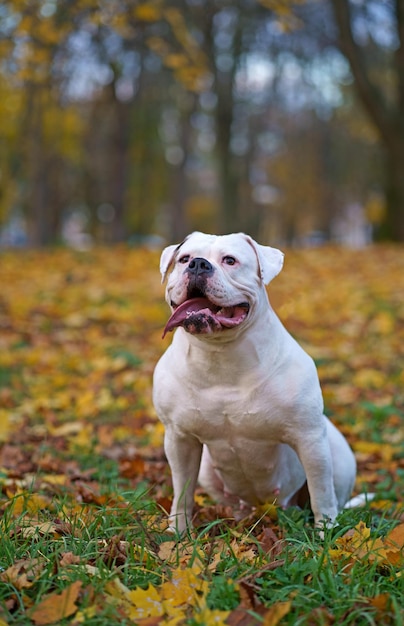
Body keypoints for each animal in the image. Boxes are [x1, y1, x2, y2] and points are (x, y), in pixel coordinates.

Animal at [152, 232, 356, 528]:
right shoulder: (180, 440)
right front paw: (178, 532)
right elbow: (182, 493)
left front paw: (325, 533)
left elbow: (322, 496)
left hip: (336, 456)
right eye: (184, 258)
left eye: (230, 260)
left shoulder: (309, 439)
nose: (198, 264)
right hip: (208, 471)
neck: (221, 356)